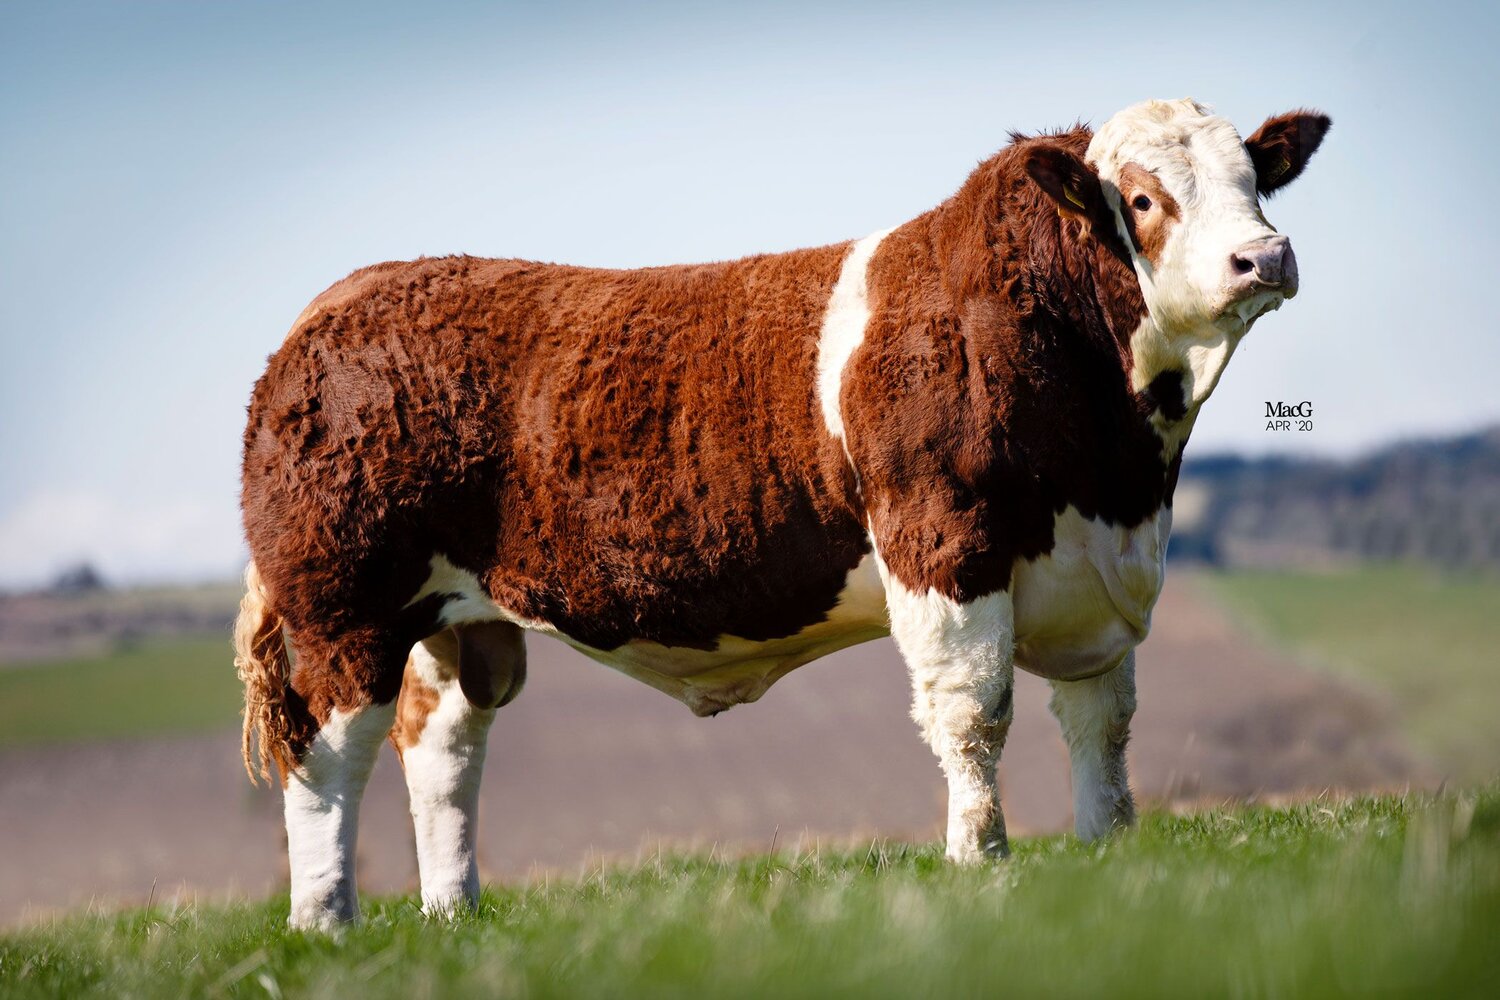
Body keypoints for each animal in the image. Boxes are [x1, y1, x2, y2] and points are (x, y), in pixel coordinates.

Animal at [234, 99, 1326, 929]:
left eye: (1256, 181)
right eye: (1142, 198)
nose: (1265, 256)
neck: (1118, 461)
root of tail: (338, 303)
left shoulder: (1101, 578)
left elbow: (1104, 725)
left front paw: (1110, 860)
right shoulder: (944, 544)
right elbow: (974, 713)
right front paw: (982, 864)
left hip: (454, 623)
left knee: (441, 752)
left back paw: (452, 915)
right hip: (343, 611)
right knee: (326, 758)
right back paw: (325, 923)